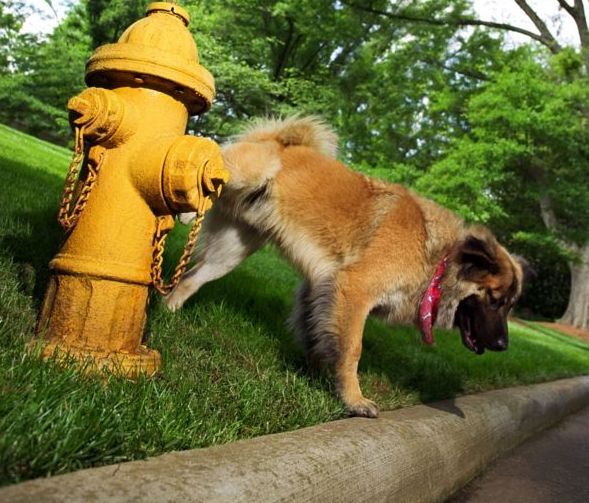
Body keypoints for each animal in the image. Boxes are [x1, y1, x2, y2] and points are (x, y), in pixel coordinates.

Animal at [167, 117, 524, 418]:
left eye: (509, 305)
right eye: (495, 300)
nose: (503, 346)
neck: (439, 259)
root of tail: (280, 140)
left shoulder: (320, 290)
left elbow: (318, 335)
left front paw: (318, 376)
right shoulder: (354, 289)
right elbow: (352, 349)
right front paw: (353, 400)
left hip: (231, 251)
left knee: (189, 279)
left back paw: (168, 310)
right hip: (242, 176)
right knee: (208, 160)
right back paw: (183, 207)